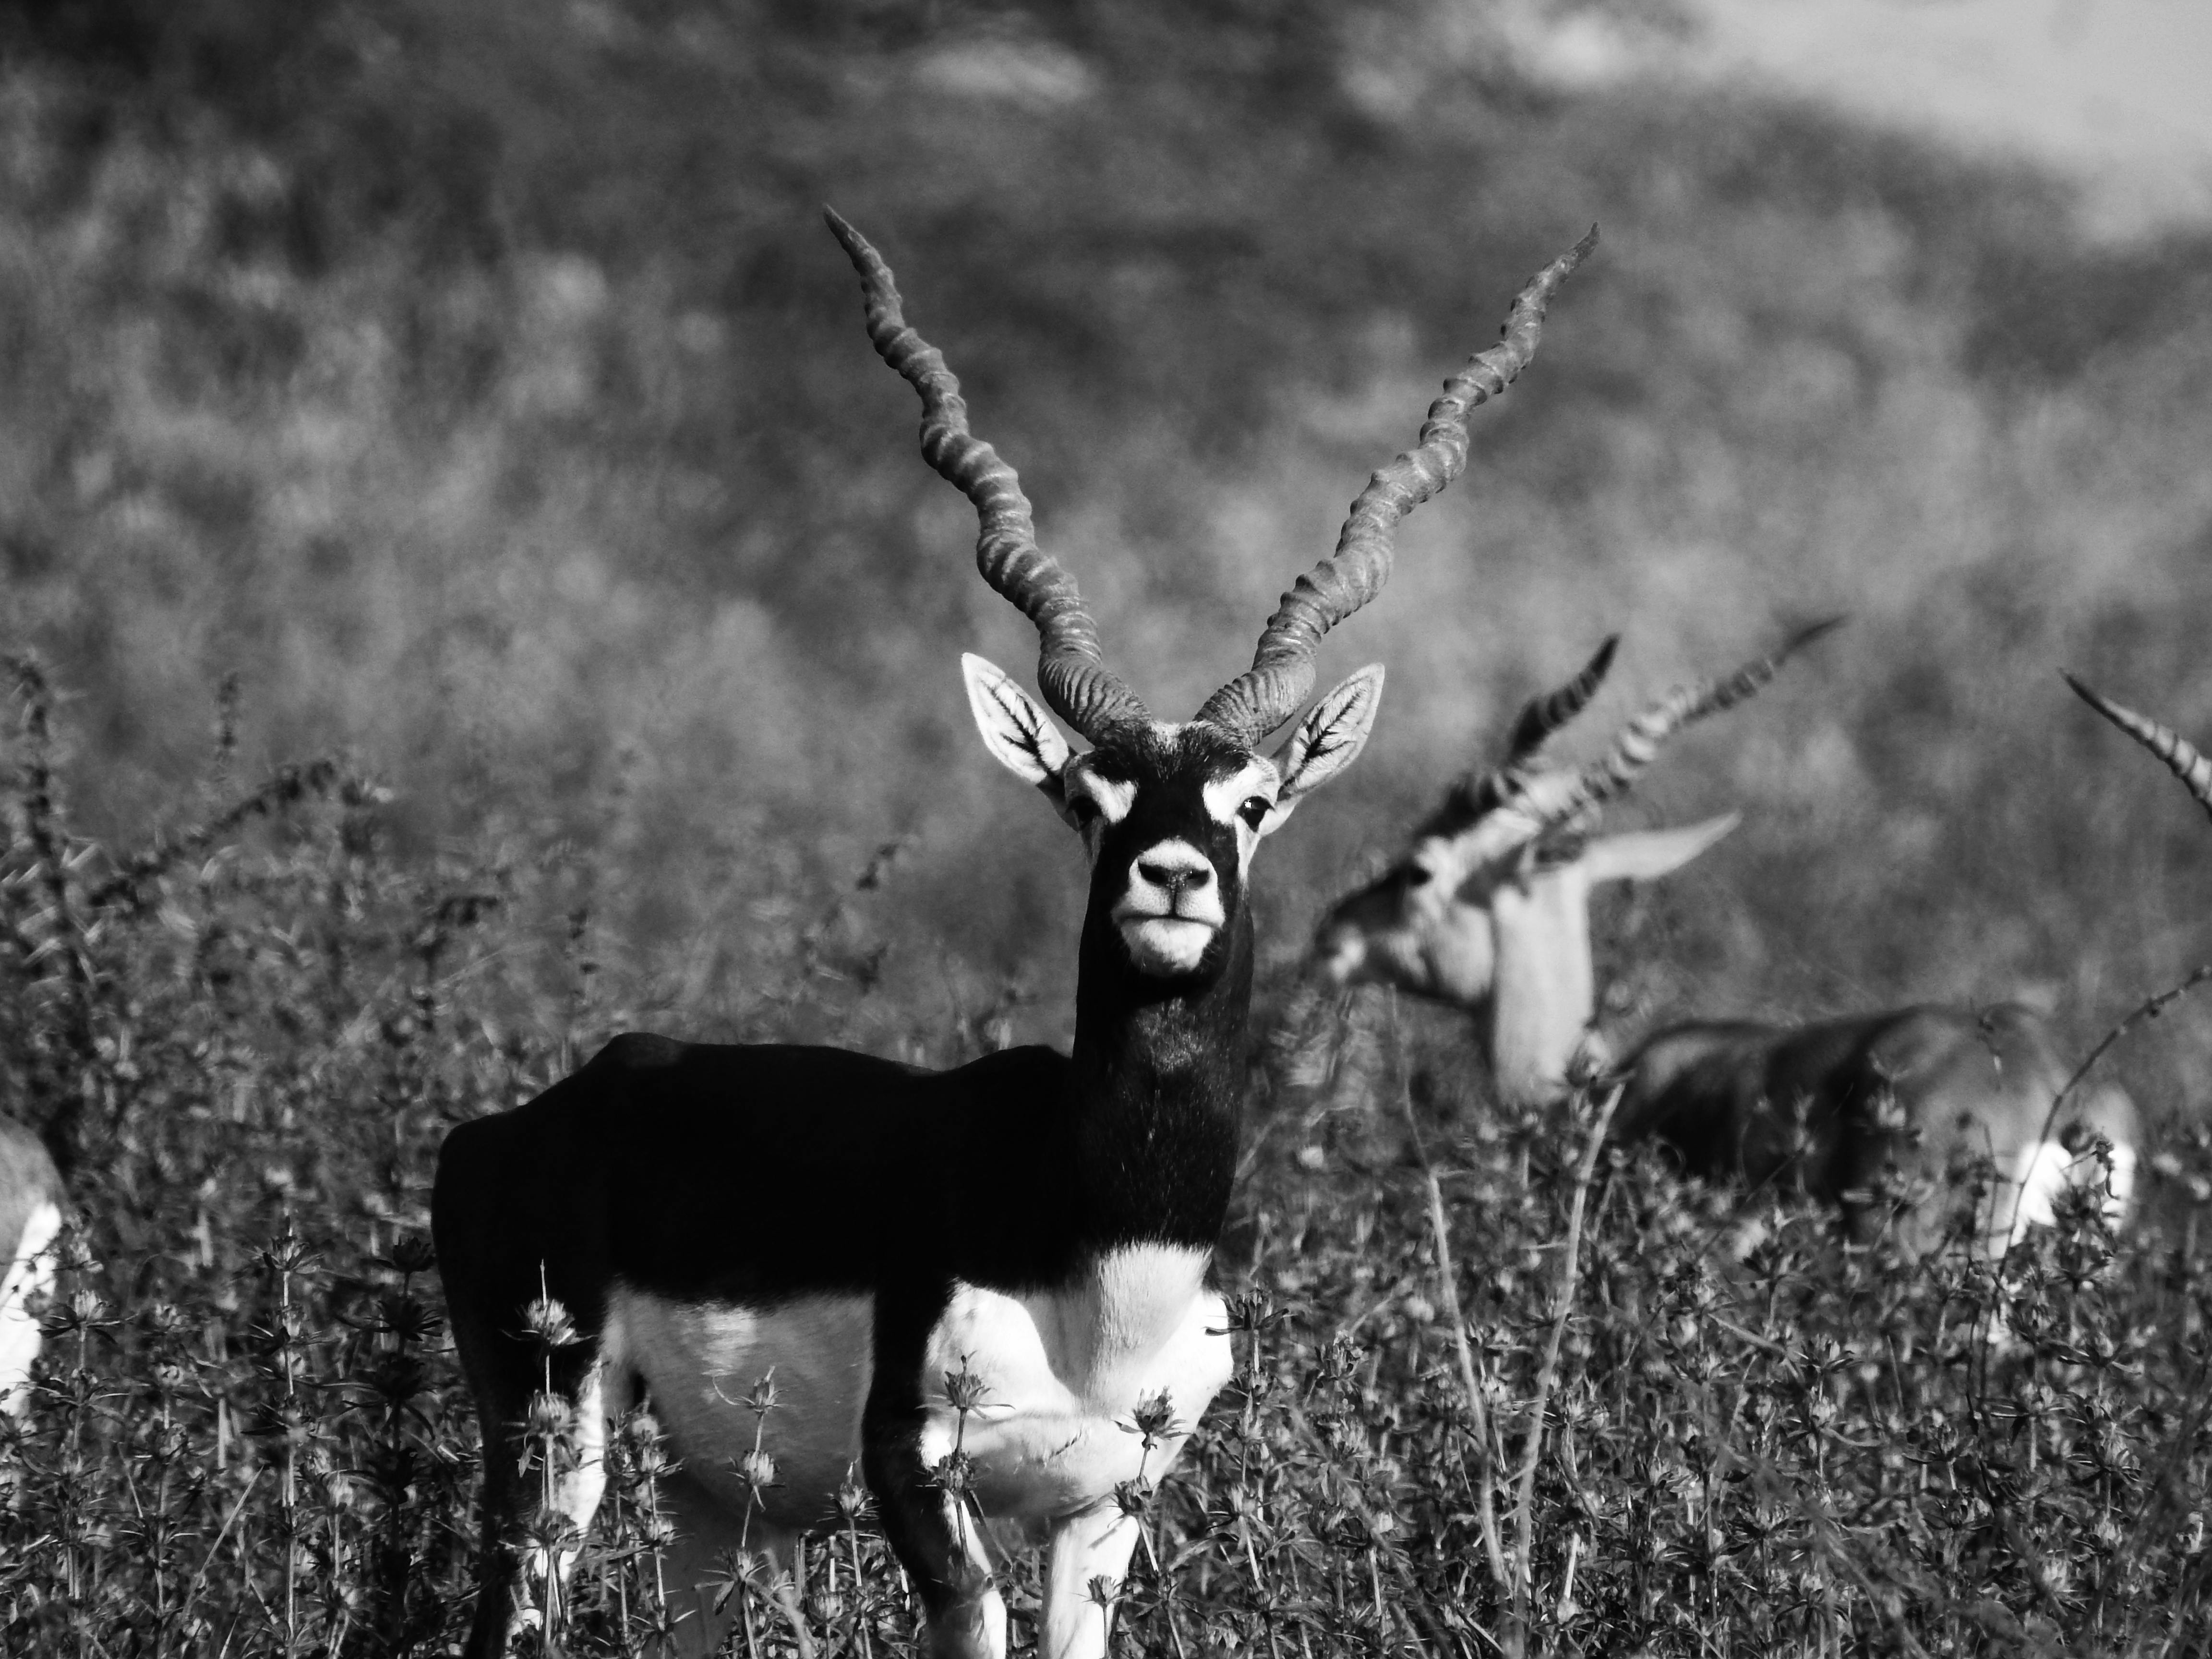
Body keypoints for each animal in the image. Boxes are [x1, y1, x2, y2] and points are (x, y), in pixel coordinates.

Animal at [433, 211, 1594, 1659]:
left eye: (1252, 804)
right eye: (1091, 799)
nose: (1171, 877)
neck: (1095, 1256)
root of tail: (549, 1108)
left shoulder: (1110, 1500)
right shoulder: (914, 1468)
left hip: (717, 1509)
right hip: (554, 1446)